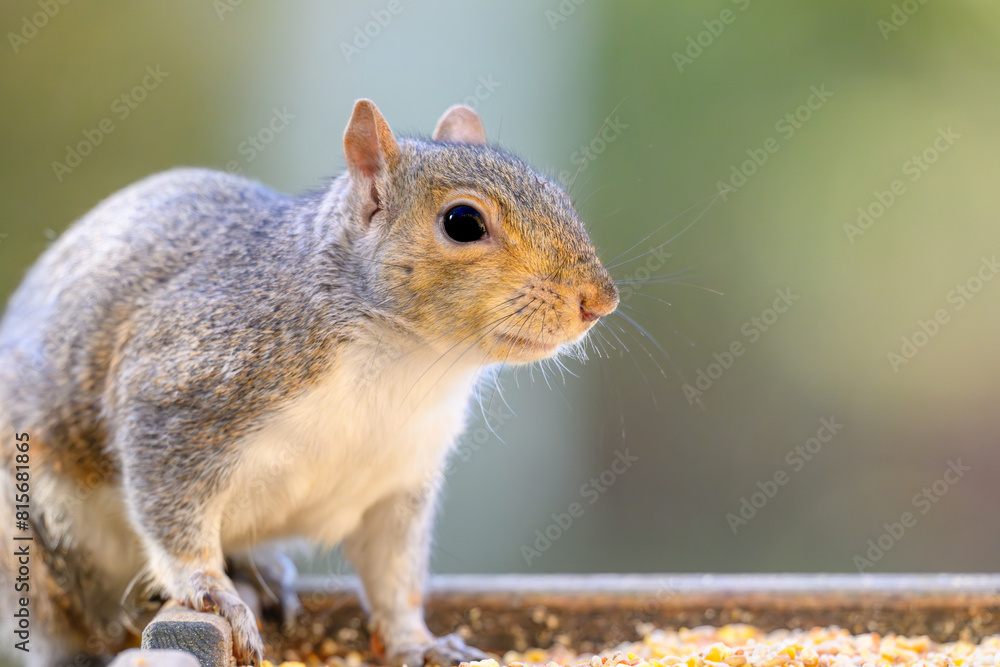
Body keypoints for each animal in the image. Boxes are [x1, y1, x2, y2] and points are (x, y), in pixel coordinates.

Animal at [0, 100, 619, 667]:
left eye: (558, 197)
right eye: (462, 223)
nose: (600, 302)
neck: (405, 361)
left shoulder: (397, 482)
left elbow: (394, 576)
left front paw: (419, 643)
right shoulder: (182, 392)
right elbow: (172, 512)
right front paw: (213, 593)